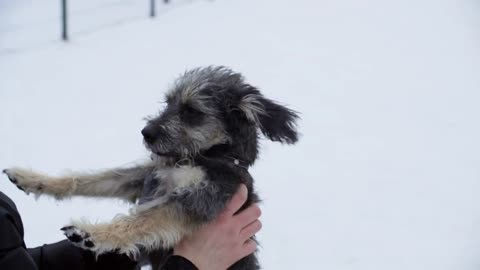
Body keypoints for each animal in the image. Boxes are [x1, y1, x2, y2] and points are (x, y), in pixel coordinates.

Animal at [1, 66, 298, 270]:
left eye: (192, 111)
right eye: (168, 102)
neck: (204, 157)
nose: (146, 132)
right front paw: (33, 180)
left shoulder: (201, 198)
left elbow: (145, 219)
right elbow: (94, 180)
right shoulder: (143, 178)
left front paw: (91, 234)